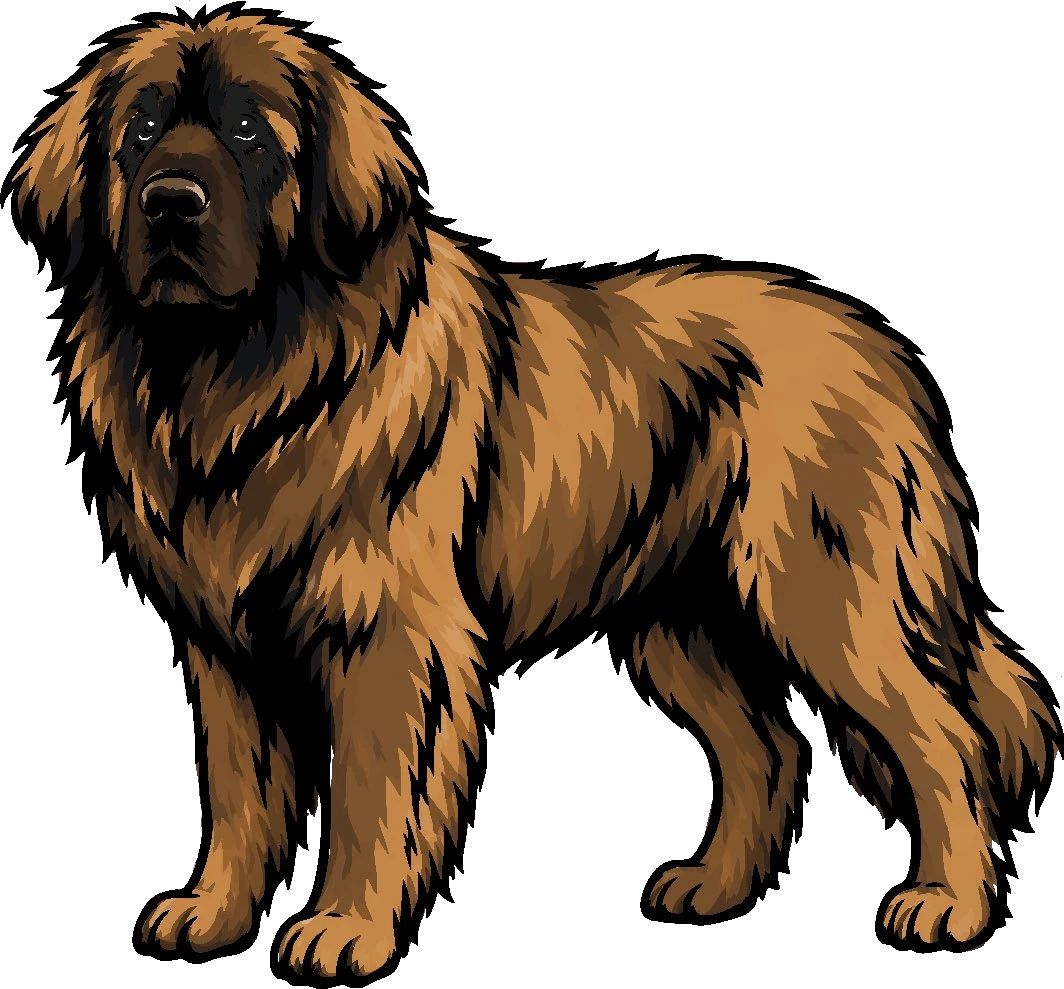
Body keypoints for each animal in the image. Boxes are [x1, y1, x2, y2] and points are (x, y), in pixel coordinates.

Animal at [15, 13, 1055, 976]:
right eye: (142, 130)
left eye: (248, 134)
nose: (170, 204)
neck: (237, 382)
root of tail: (874, 347)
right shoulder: (224, 648)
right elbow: (239, 792)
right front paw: (216, 910)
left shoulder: (391, 629)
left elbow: (368, 792)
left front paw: (348, 923)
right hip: (680, 621)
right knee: (764, 747)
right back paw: (716, 887)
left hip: (821, 593)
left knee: (944, 733)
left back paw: (948, 901)